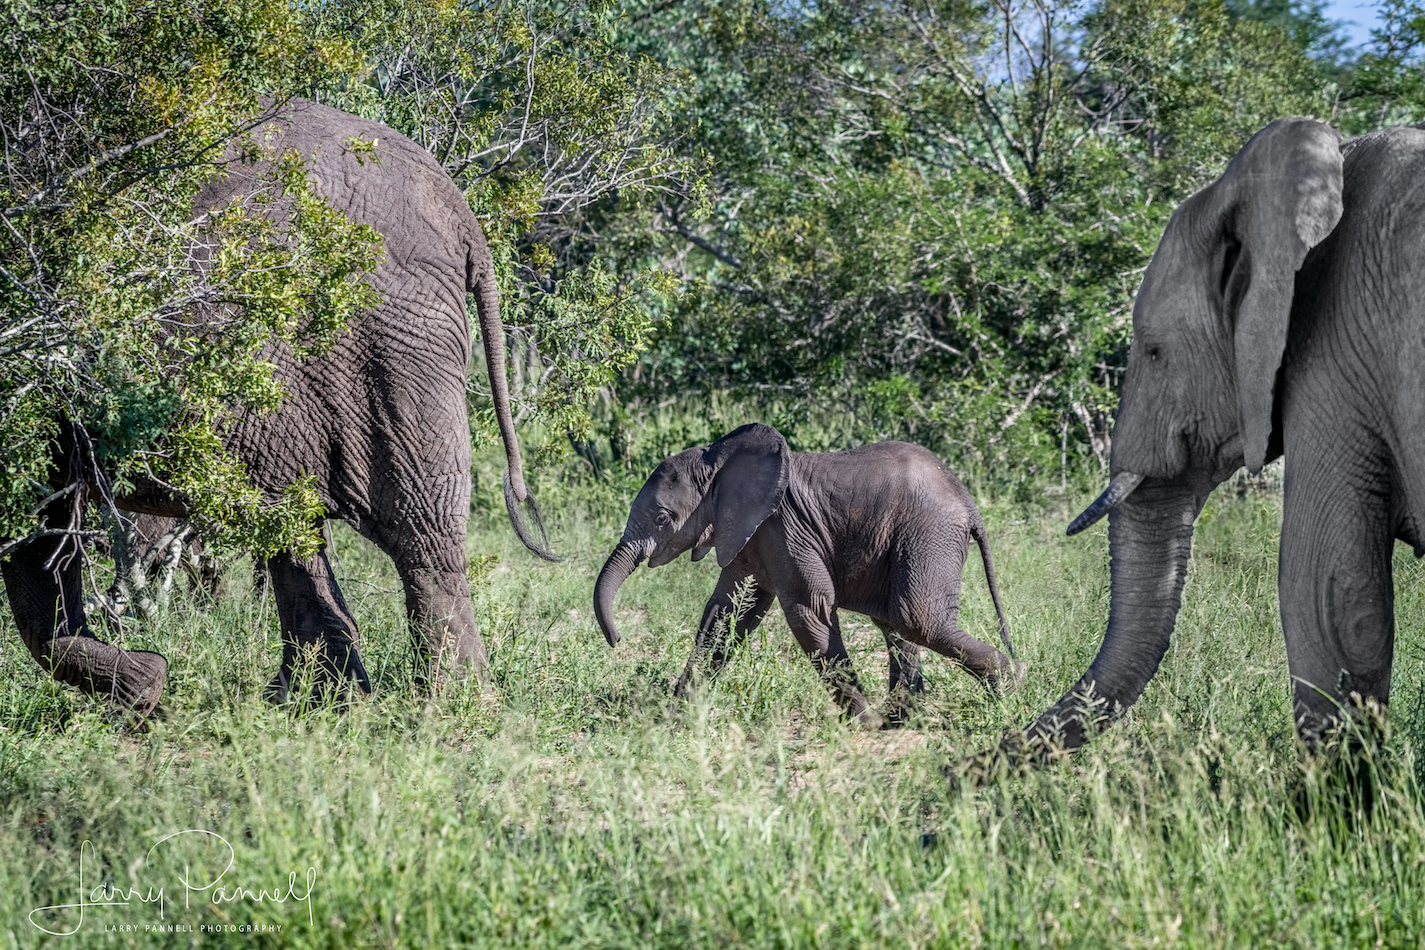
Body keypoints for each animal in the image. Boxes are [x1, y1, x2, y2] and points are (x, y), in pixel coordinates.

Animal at [6, 98, 552, 718]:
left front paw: (147, 687)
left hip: (371, 339)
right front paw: (146, 684)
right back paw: (316, 699)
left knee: (401, 522)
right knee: (296, 520)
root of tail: (461, 214)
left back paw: (445, 703)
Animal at [593, 424, 1022, 728]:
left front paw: (865, 724)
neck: (718, 459)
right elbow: (726, 612)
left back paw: (1010, 688)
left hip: (928, 532)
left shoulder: (783, 528)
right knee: (895, 622)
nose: (617, 640)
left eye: (662, 518)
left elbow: (808, 608)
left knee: (915, 618)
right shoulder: (750, 532)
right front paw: (675, 716)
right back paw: (903, 720)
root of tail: (968, 502)